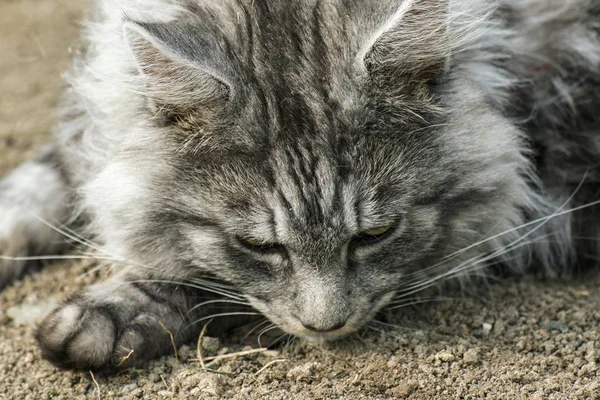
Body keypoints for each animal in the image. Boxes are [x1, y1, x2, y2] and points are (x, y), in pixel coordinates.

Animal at [1, 0, 600, 372]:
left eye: (376, 234)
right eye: (258, 244)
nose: (326, 326)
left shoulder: (541, 210)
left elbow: (198, 281)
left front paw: (106, 316)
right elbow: (32, 190)